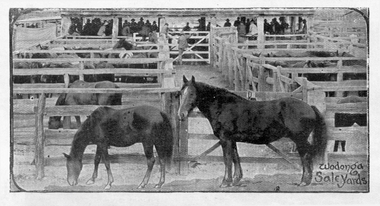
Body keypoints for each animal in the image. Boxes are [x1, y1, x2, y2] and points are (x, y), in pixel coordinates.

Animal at [177, 75, 326, 187]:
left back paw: (304, 181)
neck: (223, 106)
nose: (181, 114)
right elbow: (235, 158)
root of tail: (310, 107)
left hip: (300, 139)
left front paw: (225, 182)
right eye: (180, 93)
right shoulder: (232, 140)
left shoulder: (225, 139)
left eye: (191, 93)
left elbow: (227, 159)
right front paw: (236, 180)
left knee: (305, 155)